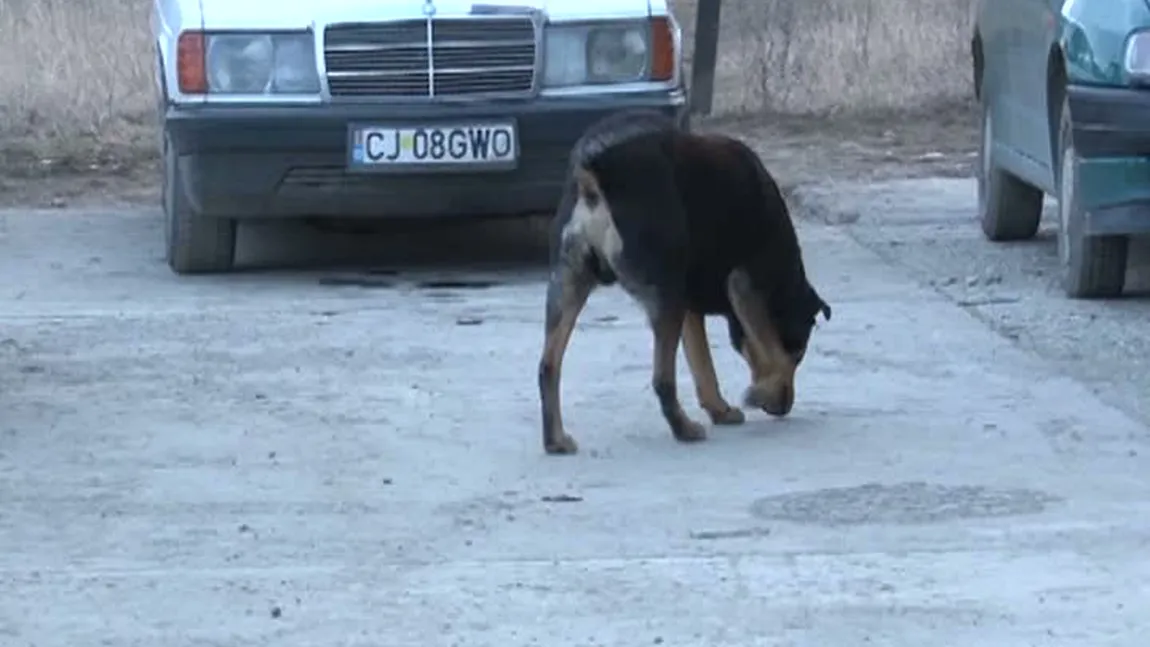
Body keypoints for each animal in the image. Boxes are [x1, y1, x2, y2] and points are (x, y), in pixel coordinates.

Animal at [533, 108, 832, 455]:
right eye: (800, 351)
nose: (783, 407)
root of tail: (593, 171)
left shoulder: (691, 307)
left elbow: (704, 364)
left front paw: (721, 409)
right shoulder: (746, 285)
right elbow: (773, 353)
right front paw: (760, 392)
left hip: (567, 282)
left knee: (548, 365)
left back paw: (555, 439)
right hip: (665, 294)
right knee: (662, 378)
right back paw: (683, 429)